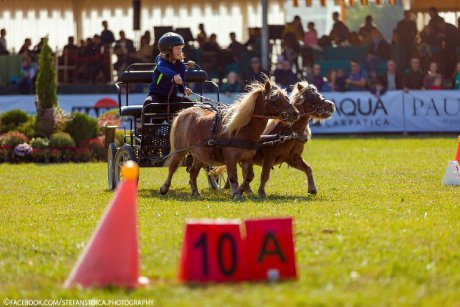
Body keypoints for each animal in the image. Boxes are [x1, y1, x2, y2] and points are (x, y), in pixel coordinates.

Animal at [160, 79, 300, 200]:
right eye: (274, 98)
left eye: (286, 97)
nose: (296, 113)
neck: (242, 128)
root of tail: (183, 112)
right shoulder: (230, 159)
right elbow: (233, 177)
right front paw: (235, 194)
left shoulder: (247, 158)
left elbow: (249, 176)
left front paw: (240, 192)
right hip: (180, 150)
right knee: (172, 167)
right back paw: (164, 188)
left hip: (200, 154)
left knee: (193, 172)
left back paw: (195, 193)